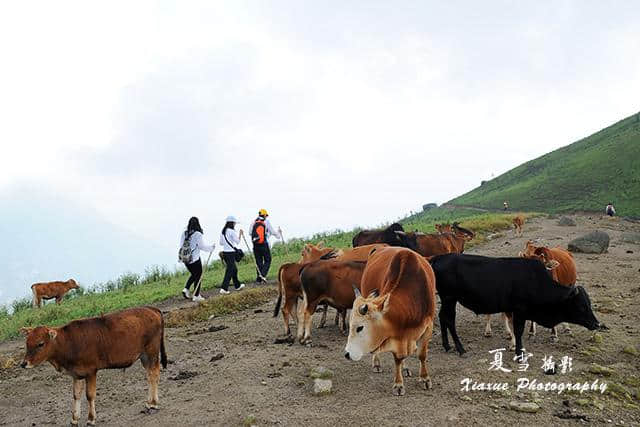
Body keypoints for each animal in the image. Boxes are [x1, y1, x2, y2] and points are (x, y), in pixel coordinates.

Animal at [21, 308, 168, 424]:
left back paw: (154, 404)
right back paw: (149, 402)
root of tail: (151, 309)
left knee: (154, 374)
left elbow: (90, 395)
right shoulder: (76, 374)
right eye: (27, 343)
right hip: (144, 356)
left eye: (40, 344)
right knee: (149, 375)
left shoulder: (91, 371)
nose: (23, 363)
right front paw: (74, 418)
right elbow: (76, 395)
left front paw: (91, 419)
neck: (69, 342)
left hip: (152, 352)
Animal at [342, 247, 438, 398]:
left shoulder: (427, 326)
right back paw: (377, 363)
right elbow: (398, 359)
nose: (347, 354)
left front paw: (425, 379)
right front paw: (398, 385)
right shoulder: (396, 335)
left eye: (360, 328)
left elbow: (422, 355)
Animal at [430, 254, 600, 358]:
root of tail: (438, 258)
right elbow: (518, 331)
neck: (535, 281)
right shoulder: (519, 311)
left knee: (442, 317)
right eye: (582, 306)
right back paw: (460, 348)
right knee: (449, 319)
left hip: (447, 299)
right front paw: (519, 353)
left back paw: (447, 346)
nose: (597, 324)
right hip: (449, 298)